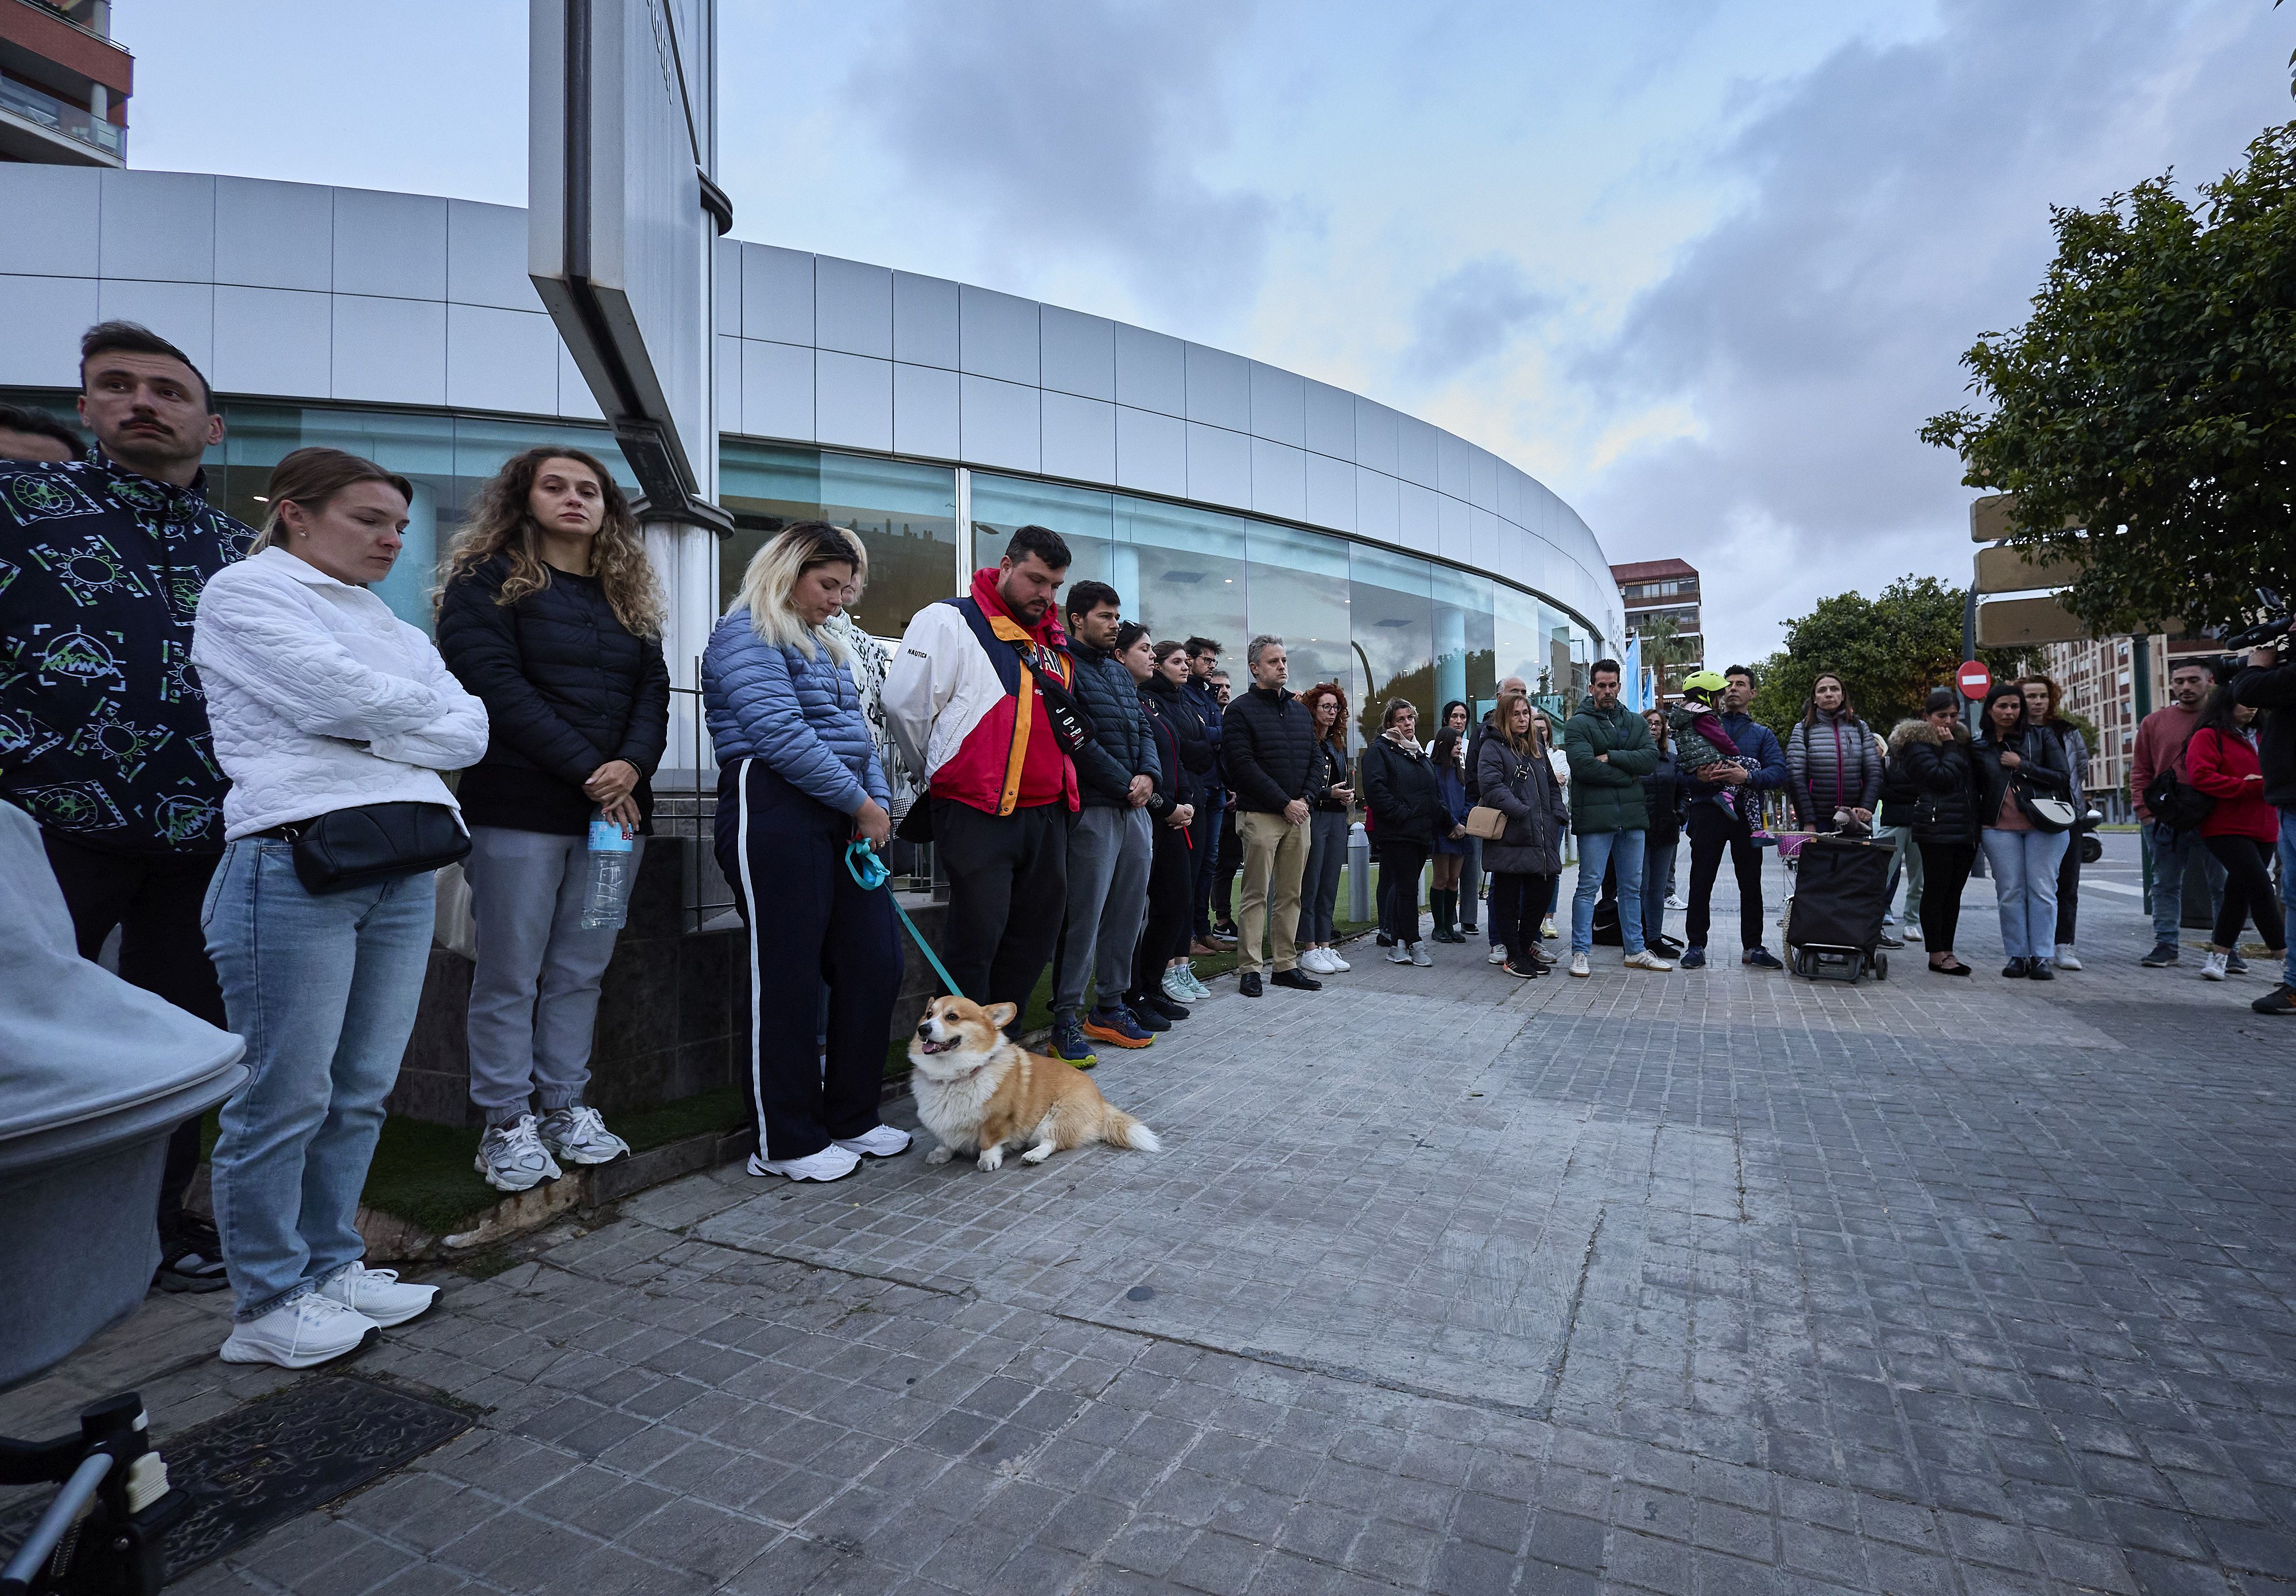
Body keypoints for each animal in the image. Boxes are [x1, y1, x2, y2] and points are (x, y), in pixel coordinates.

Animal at [909, 1001, 1166, 1175]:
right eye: (929, 1014)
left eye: (952, 1017)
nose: (923, 1029)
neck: (953, 1077)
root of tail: (1101, 1102)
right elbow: (946, 1140)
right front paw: (941, 1153)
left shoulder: (998, 1119)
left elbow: (990, 1141)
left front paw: (988, 1160)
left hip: (1056, 1117)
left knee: (1052, 1142)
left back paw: (1032, 1155)